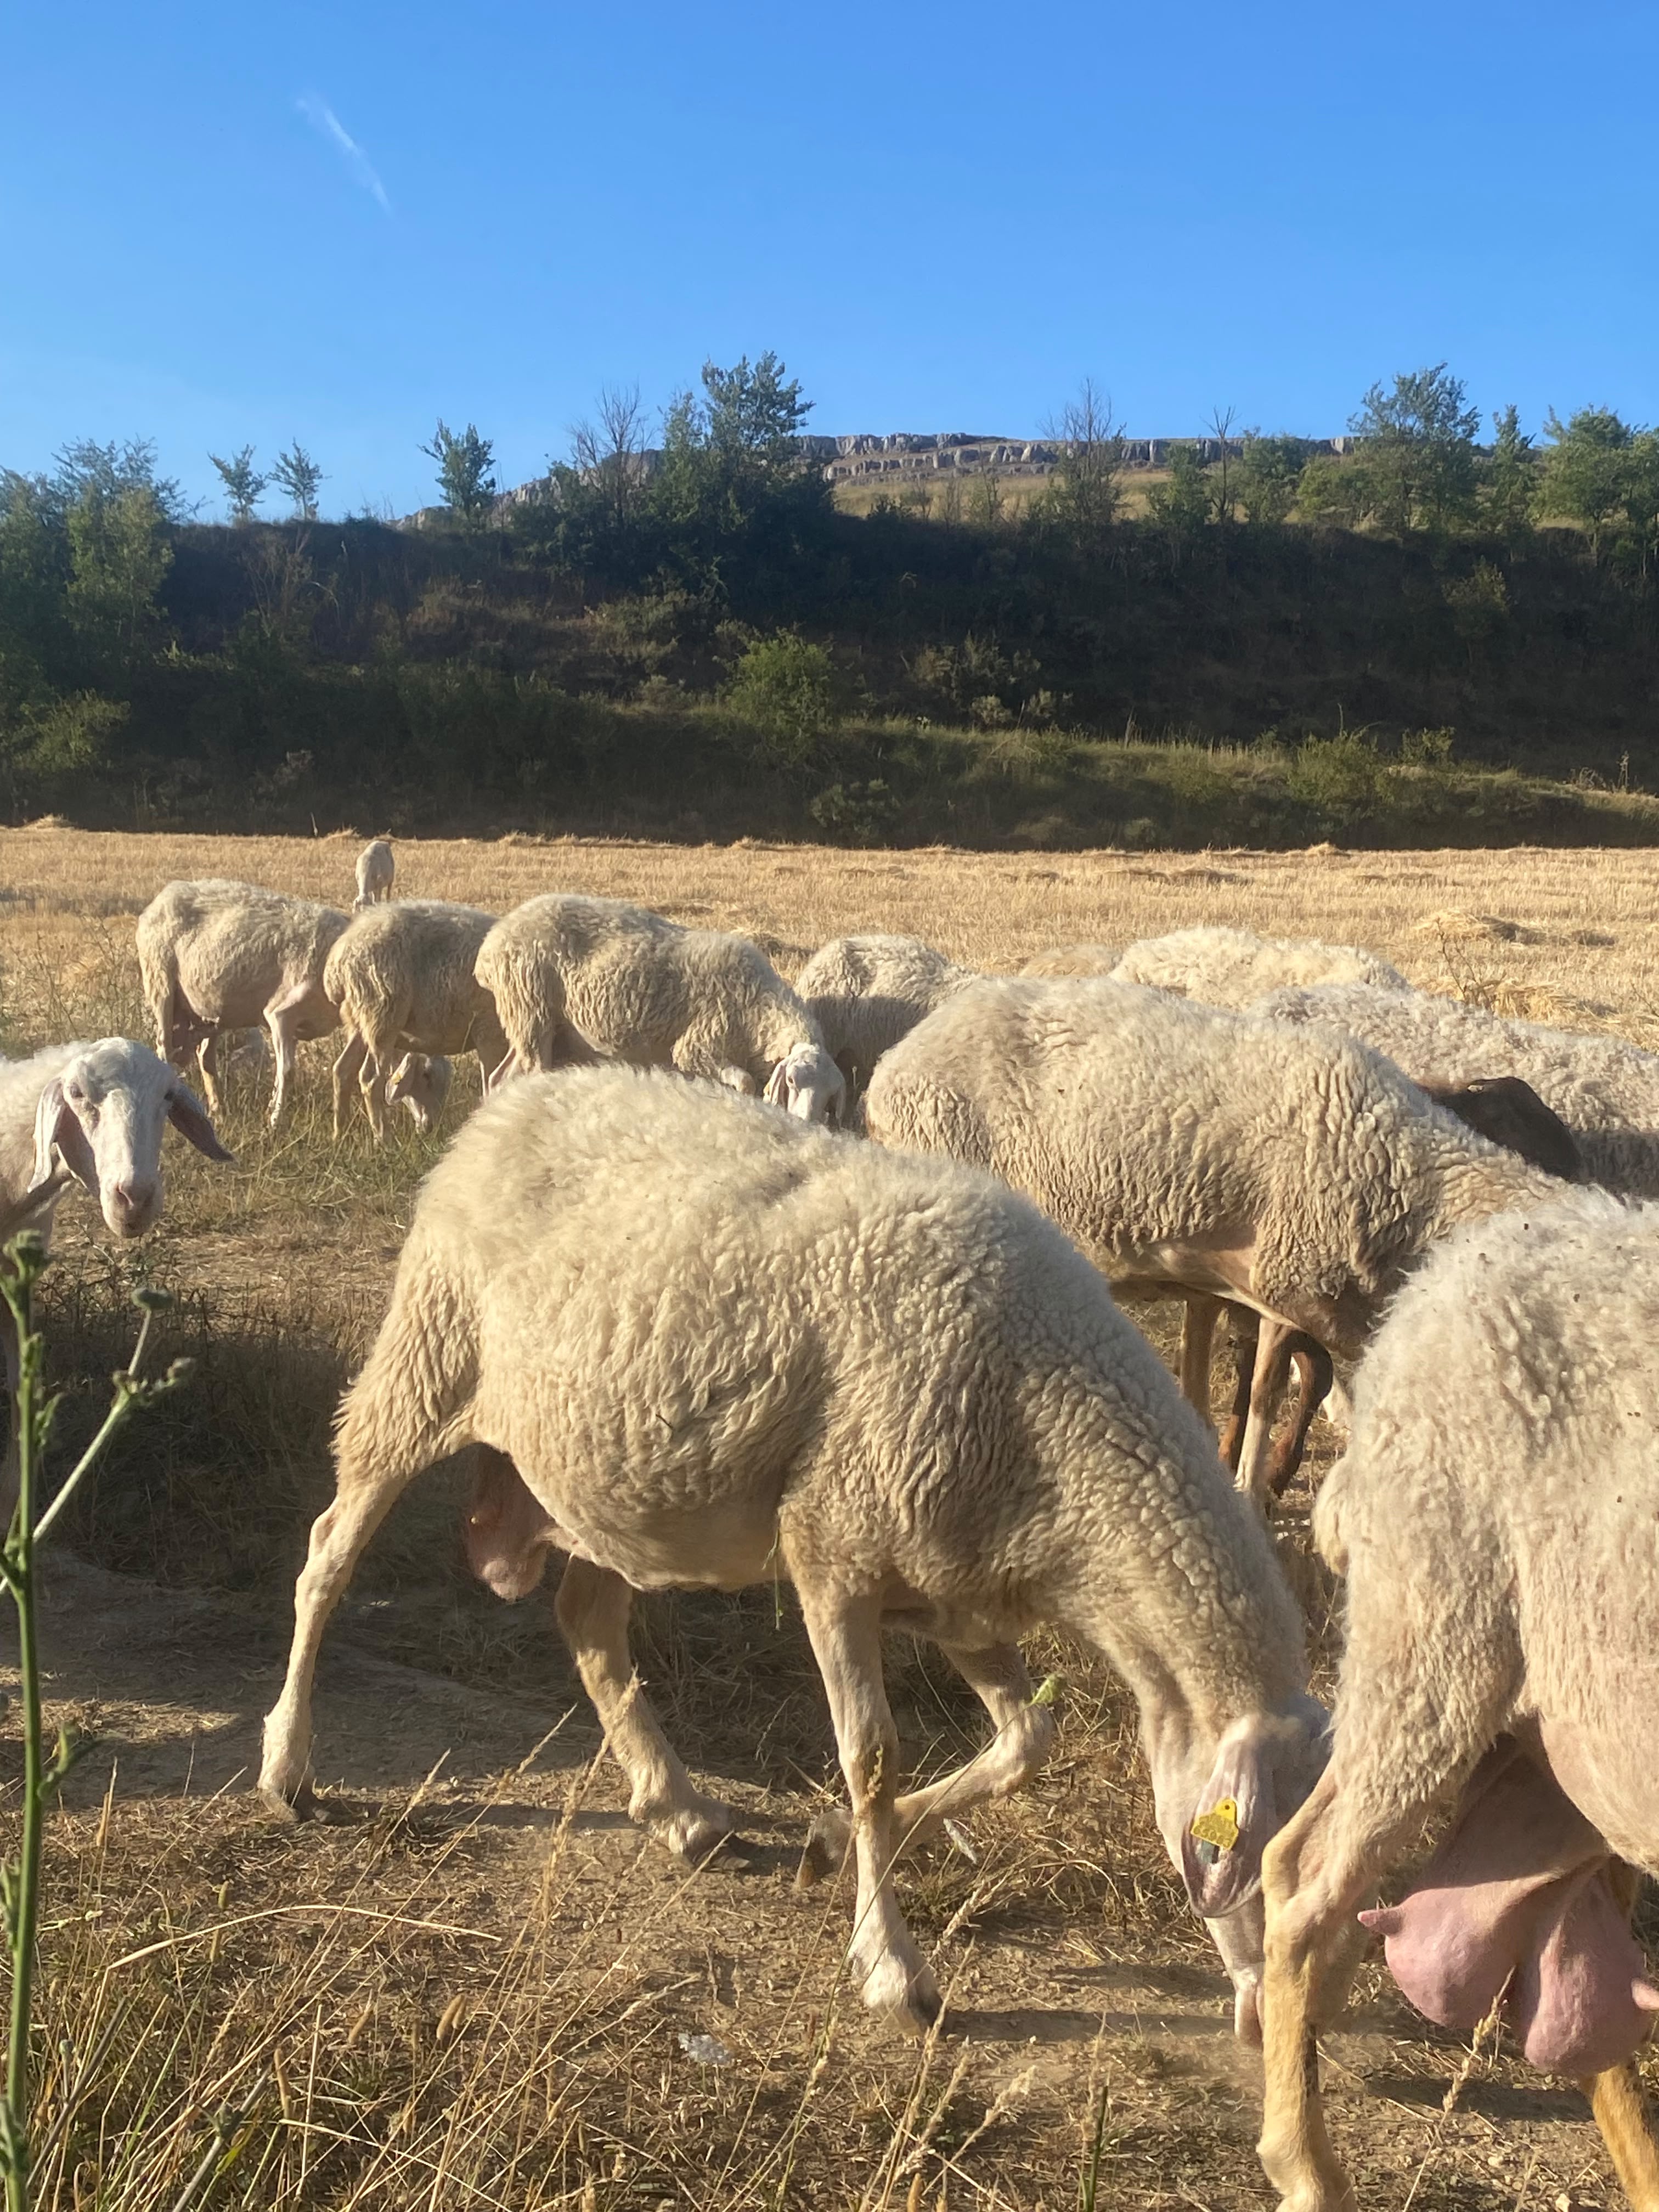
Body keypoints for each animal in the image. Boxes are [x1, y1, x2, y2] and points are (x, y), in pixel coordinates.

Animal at [136, 879, 350, 1127]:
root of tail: (165, 895)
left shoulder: (294, 1026)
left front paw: (270, 1111)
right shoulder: (280, 1014)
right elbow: (287, 1072)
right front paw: (275, 1122)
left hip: (210, 1011)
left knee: (205, 1057)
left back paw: (218, 1111)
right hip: (161, 986)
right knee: (164, 1048)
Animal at [260, 1066, 1326, 2037]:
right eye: (1242, 1856)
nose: (1273, 2022)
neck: (1050, 1420)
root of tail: (520, 1094)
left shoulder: (950, 1584)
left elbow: (1026, 1742)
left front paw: (832, 1844)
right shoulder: (835, 1552)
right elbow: (872, 1757)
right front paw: (891, 1964)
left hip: (609, 1471)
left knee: (588, 1622)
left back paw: (677, 1805)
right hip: (424, 1363)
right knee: (324, 1560)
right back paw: (289, 1765)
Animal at [323, 901, 508, 1141]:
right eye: (426, 1076)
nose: (430, 1127)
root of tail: (338, 961)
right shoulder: (489, 1032)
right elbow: (492, 1083)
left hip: (360, 1022)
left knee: (342, 1070)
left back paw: (340, 1135)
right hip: (382, 1015)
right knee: (371, 1080)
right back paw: (384, 1138)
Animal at [475, 894, 845, 1122]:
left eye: (831, 1097)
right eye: (792, 1081)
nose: (807, 1123)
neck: (758, 1008)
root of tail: (490, 947)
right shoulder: (697, 1048)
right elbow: (744, 1084)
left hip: (534, 1021)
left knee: (499, 1077)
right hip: (530, 1009)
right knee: (527, 1072)